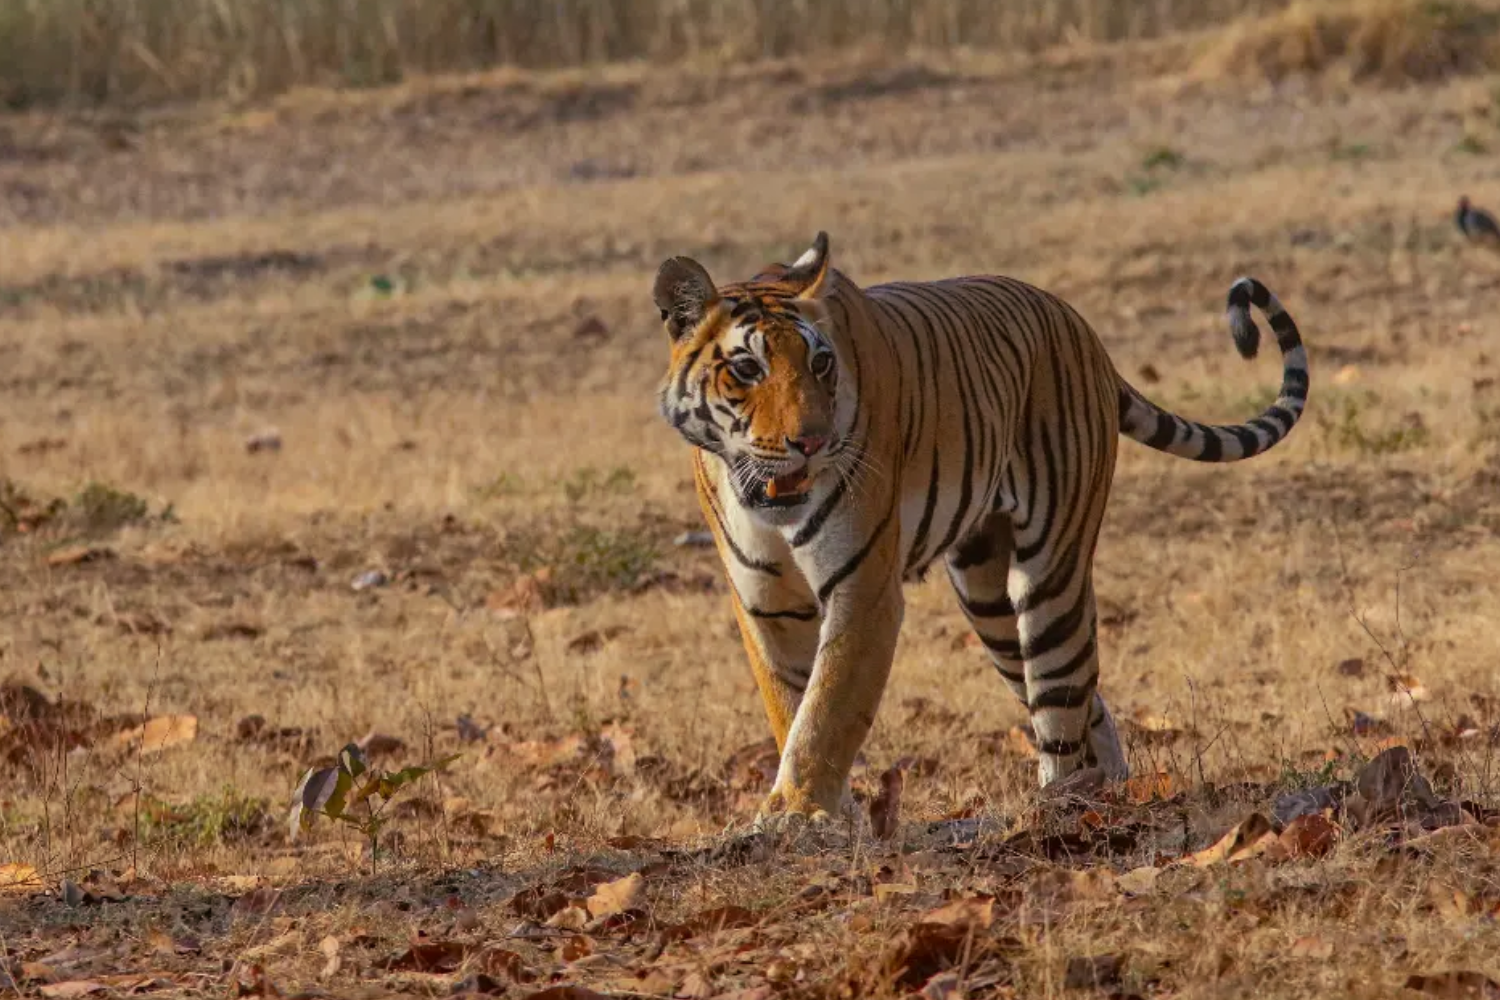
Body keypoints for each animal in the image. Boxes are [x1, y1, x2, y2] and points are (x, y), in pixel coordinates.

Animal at [653, 231, 1309, 826]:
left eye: (820, 364)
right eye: (746, 368)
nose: (811, 442)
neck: (764, 504)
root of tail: (1083, 330)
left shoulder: (863, 588)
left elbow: (828, 707)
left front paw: (796, 812)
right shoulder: (765, 600)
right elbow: (791, 705)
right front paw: (827, 813)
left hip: (1052, 571)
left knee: (1062, 691)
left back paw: (1061, 805)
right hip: (985, 595)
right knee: (1082, 698)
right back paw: (1107, 785)